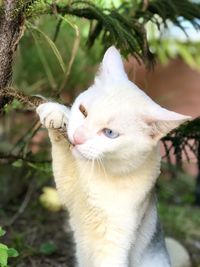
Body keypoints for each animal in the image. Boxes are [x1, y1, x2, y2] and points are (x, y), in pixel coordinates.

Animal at [36, 46, 191, 267]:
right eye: (83, 111)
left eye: (110, 133)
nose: (77, 138)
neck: (100, 173)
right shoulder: (68, 190)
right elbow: (62, 152)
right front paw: (58, 113)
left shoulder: (112, 245)